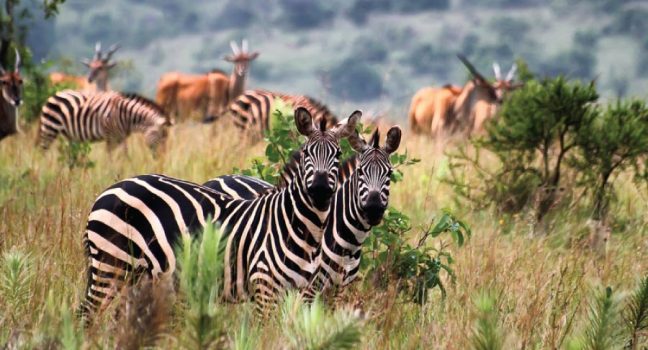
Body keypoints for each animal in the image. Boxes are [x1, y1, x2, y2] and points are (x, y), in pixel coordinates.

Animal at [37, 89, 171, 152]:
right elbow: (113, 156)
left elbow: (124, 155)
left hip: (68, 135)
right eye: (161, 138)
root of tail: (54, 95)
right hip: (50, 129)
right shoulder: (111, 135)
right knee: (43, 151)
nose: (161, 160)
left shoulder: (121, 136)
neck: (126, 114)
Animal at [80, 108, 360, 318]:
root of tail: (111, 188)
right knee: (87, 314)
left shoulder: (301, 293)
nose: (321, 190)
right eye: (305, 154)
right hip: (111, 263)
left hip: (135, 275)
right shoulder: (265, 288)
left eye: (338, 154)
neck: (301, 228)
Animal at [205, 126, 402, 304]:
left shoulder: (338, 291)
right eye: (360, 172)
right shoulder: (307, 289)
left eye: (389, 173)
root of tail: (218, 178)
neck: (349, 242)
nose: (374, 209)